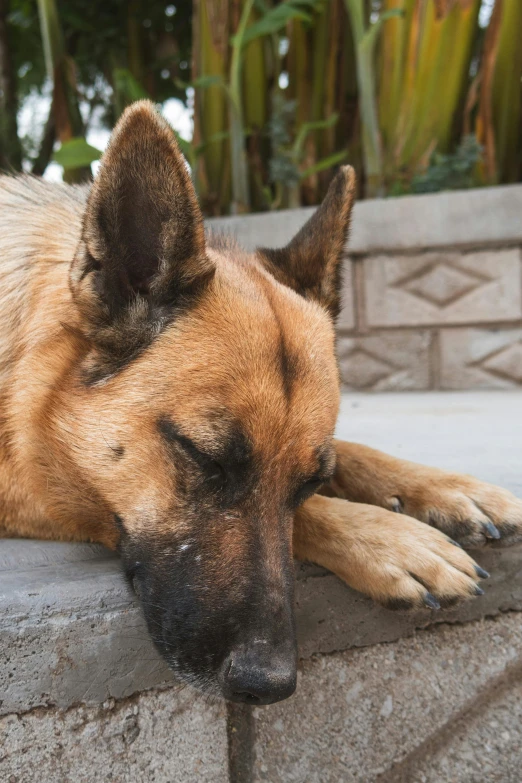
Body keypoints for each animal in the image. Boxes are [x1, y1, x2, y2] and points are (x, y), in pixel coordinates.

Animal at [1, 101, 520, 708]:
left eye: (310, 481)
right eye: (205, 459)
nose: (267, 684)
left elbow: (350, 454)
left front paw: (448, 489)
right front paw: (395, 539)